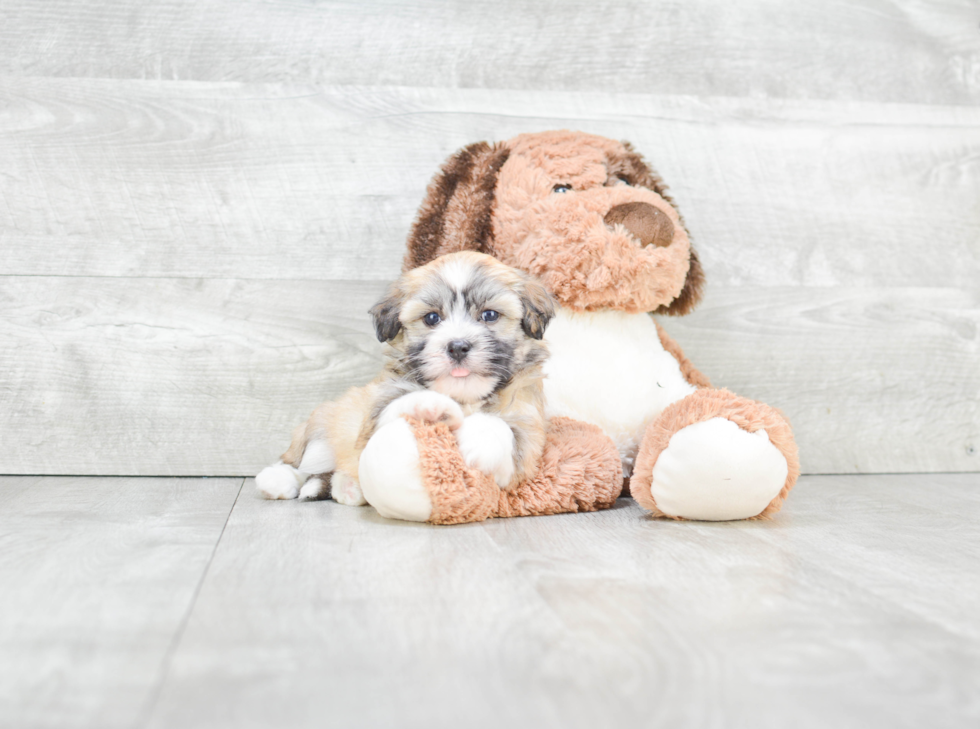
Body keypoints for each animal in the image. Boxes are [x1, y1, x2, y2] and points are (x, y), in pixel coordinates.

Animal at [256, 250, 556, 506]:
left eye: (490, 315)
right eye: (432, 318)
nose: (458, 346)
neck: (464, 396)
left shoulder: (527, 434)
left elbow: (503, 429)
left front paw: (480, 444)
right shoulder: (375, 417)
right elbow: (395, 407)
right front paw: (426, 405)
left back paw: (345, 488)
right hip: (321, 423)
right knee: (300, 459)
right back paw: (278, 479)